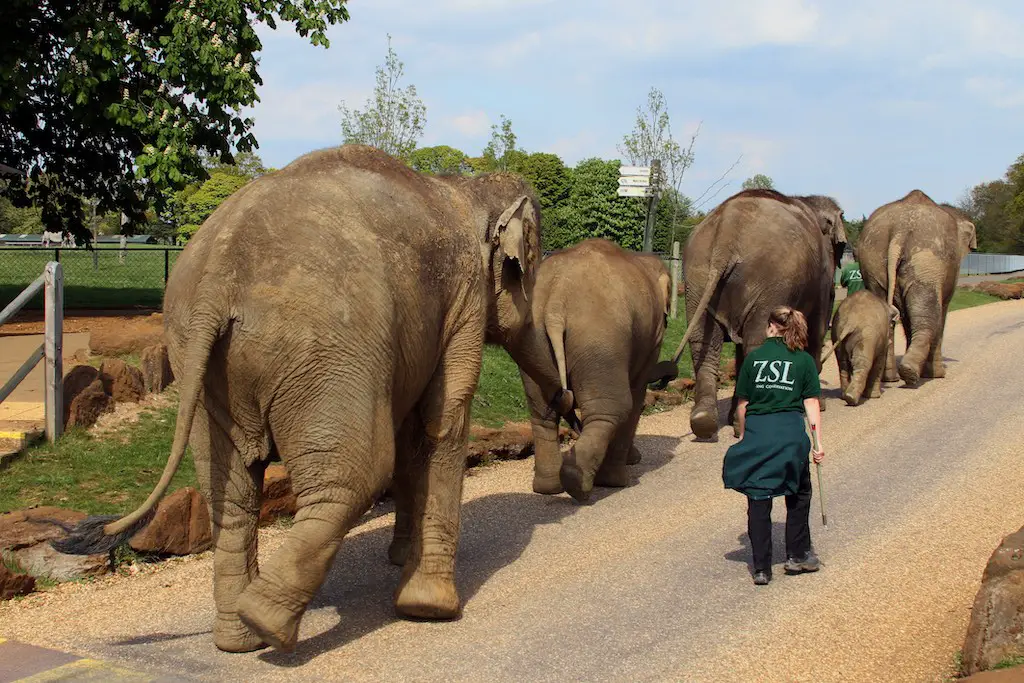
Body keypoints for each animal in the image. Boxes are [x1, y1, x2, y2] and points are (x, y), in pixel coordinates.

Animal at [54, 145, 569, 655]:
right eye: (531, 266)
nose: (566, 401)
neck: (463, 187)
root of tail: (218, 278)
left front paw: (400, 559)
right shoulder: (461, 300)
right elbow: (441, 422)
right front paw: (430, 608)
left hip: (195, 359)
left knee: (231, 490)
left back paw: (238, 639)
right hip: (325, 351)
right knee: (355, 473)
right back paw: (265, 622)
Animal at [512, 239, 671, 501]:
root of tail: (556, 301)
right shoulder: (653, 337)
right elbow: (638, 394)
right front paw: (625, 470)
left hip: (532, 341)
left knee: (542, 411)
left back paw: (549, 487)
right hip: (600, 340)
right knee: (615, 407)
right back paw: (591, 482)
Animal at [655, 189, 847, 440]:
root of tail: (726, 233)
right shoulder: (821, 278)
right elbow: (816, 331)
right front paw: (819, 406)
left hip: (697, 276)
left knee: (704, 341)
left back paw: (704, 421)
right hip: (771, 280)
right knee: (757, 340)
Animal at [856, 189, 974, 387]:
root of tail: (899, 231)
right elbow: (941, 311)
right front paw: (937, 375)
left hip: (872, 260)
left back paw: (891, 377)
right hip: (927, 261)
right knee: (928, 315)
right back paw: (910, 373)